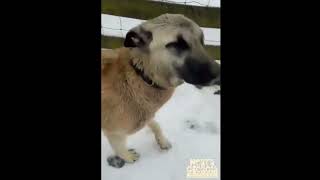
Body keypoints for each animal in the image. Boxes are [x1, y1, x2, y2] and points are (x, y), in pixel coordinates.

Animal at [102, 13, 220, 168]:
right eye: (177, 44)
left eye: (201, 40)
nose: (219, 74)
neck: (140, 76)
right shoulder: (114, 132)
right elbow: (120, 148)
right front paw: (128, 157)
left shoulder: (146, 111)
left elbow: (155, 124)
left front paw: (162, 141)